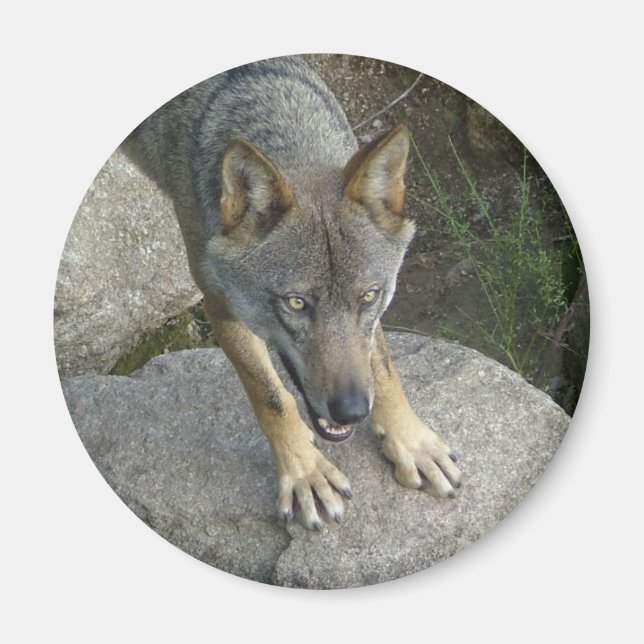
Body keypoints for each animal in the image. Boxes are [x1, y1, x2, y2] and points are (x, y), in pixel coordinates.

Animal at [126, 56, 461, 530]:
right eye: (297, 303)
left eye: (368, 297)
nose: (352, 411)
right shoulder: (218, 304)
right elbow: (271, 397)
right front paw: (305, 474)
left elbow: (384, 368)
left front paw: (411, 442)